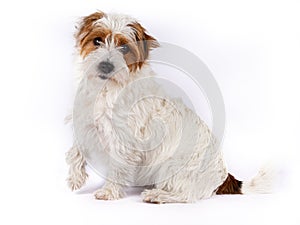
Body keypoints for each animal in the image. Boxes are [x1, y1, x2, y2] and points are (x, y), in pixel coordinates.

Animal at [67, 11, 274, 204]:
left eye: (124, 47)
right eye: (97, 40)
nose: (105, 66)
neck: (106, 88)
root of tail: (224, 177)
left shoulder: (124, 140)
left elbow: (117, 167)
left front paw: (109, 191)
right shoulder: (85, 121)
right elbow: (75, 149)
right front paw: (75, 177)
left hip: (173, 166)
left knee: (186, 196)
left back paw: (156, 195)